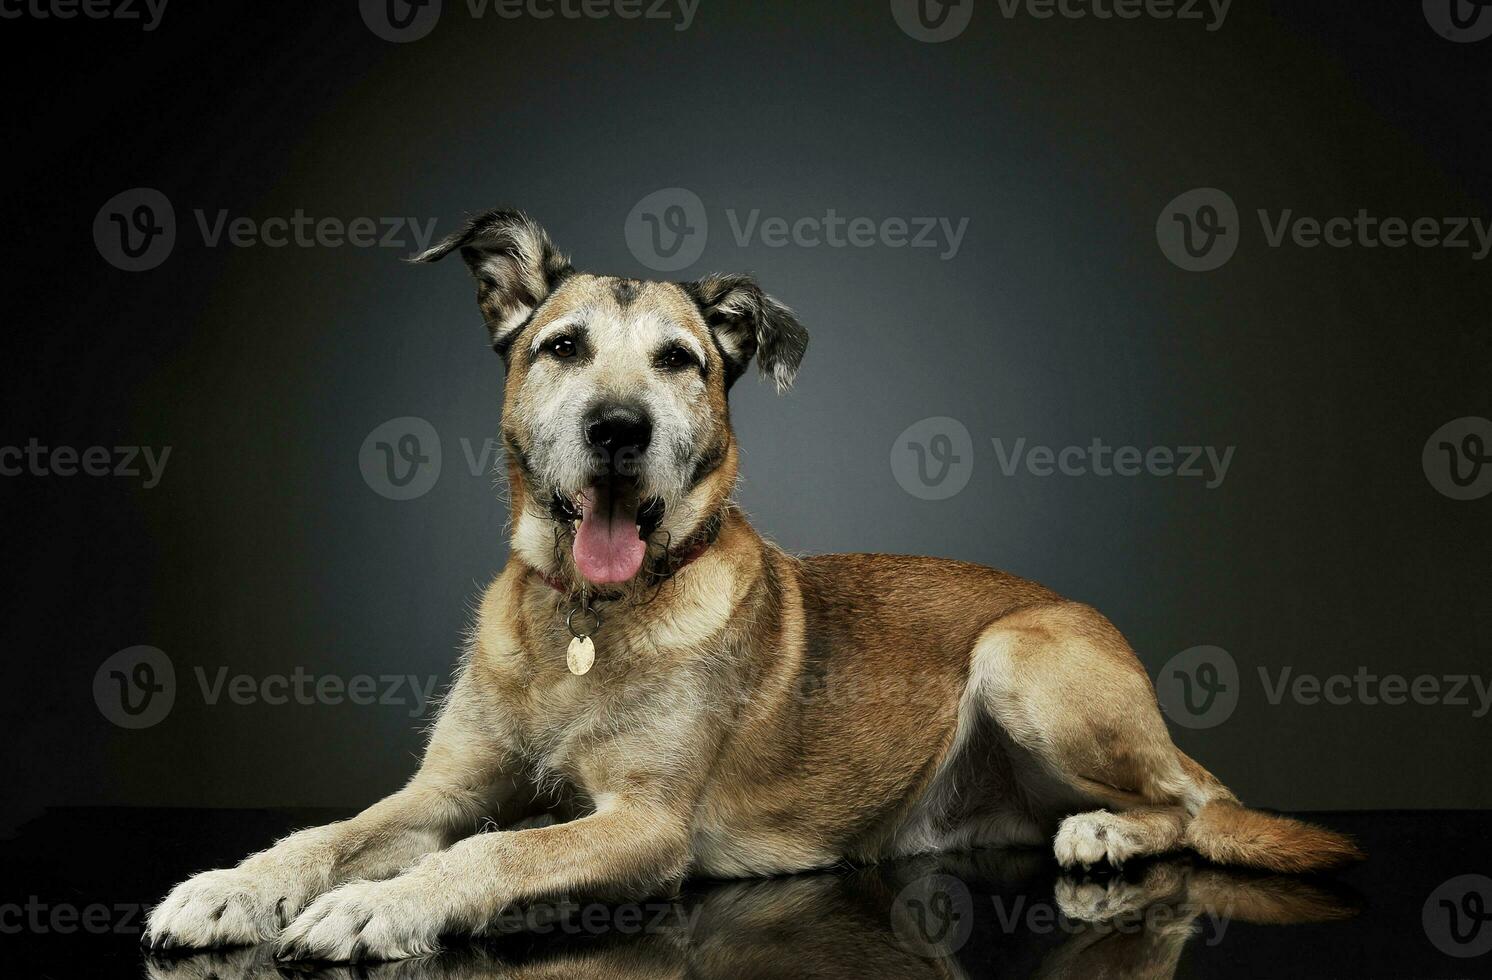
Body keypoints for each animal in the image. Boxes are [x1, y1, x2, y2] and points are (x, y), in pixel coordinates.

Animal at [142, 208, 1366, 960]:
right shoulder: (441, 787)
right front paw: (235, 883)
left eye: (680, 359)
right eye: (561, 346)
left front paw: (380, 908)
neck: (586, 622)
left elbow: (497, 848)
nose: (619, 430)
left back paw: (1108, 833)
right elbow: (338, 827)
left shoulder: (643, 827)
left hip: (1021, 658)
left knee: (1188, 802)